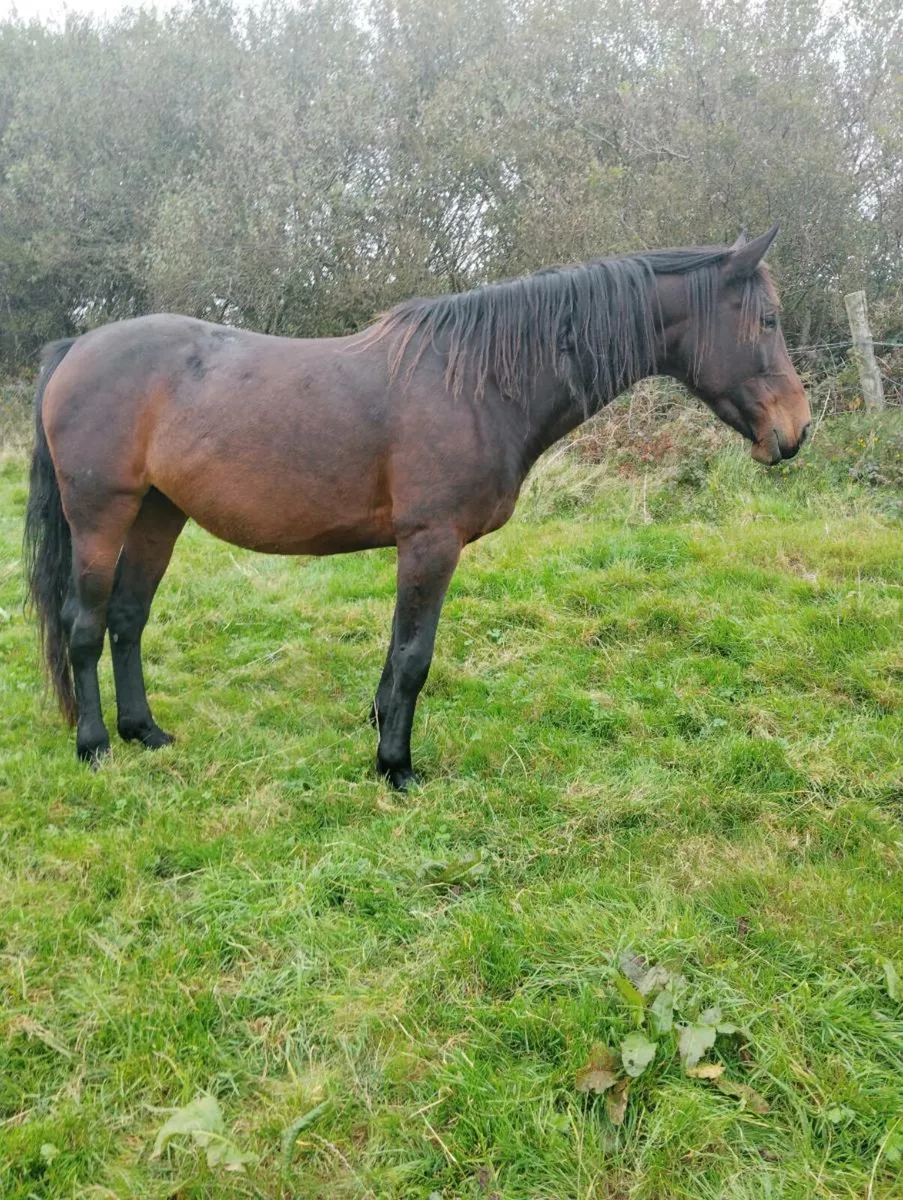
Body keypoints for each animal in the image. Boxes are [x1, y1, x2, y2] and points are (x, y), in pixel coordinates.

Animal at [24, 227, 809, 789]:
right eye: (768, 320)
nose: (796, 430)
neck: (479, 381)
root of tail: (75, 349)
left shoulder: (419, 547)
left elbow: (395, 647)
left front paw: (377, 732)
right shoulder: (432, 541)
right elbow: (412, 655)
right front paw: (396, 768)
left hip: (159, 514)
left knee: (127, 619)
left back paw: (145, 732)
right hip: (101, 515)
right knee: (85, 625)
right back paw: (95, 746)